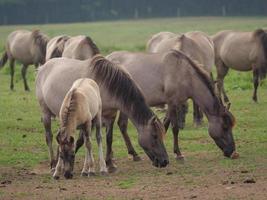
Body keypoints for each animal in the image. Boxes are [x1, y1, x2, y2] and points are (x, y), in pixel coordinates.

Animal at [35, 54, 170, 172]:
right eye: (154, 136)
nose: (165, 161)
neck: (105, 85)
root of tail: (42, 68)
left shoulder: (110, 116)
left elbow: (109, 139)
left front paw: (110, 164)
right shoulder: (90, 118)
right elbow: (82, 141)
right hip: (45, 112)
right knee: (49, 136)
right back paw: (53, 163)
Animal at [105, 49, 240, 161]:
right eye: (225, 127)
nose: (233, 152)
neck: (183, 72)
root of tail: (107, 57)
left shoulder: (173, 103)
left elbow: (165, 125)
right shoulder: (172, 102)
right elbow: (174, 128)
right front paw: (178, 154)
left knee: (122, 125)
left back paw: (132, 154)